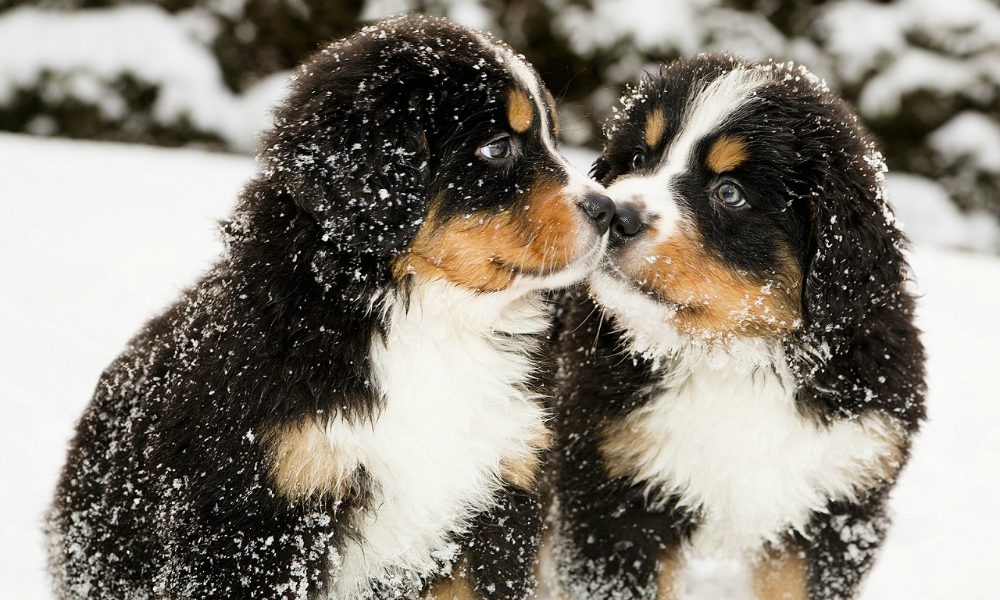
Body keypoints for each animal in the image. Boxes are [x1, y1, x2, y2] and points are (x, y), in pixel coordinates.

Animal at [48, 15, 616, 600]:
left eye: (551, 136)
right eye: (498, 148)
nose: (608, 210)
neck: (432, 322)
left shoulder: (498, 502)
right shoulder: (262, 518)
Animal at [552, 54, 924, 596]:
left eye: (730, 193)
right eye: (639, 157)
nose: (616, 213)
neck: (731, 359)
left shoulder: (838, 503)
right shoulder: (614, 496)